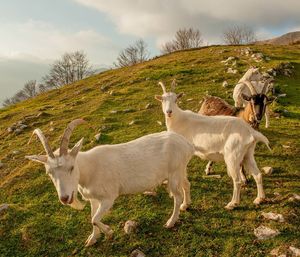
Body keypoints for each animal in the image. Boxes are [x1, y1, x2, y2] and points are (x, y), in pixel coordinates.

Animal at [25, 120, 195, 246]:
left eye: (71, 167)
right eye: (49, 173)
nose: (65, 198)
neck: (89, 168)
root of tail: (186, 144)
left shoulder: (108, 197)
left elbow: (94, 219)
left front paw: (109, 232)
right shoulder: (93, 199)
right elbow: (92, 218)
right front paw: (92, 239)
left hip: (174, 173)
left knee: (177, 195)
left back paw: (171, 222)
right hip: (180, 170)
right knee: (186, 185)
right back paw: (185, 205)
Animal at [156, 80, 270, 210]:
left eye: (175, 100)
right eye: (163, 99)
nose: (169, 112)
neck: (179, 119)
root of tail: (250, 131)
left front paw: (184, 204)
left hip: (233, 156)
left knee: (237, 181)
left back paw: (232, 203)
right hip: (248, 154)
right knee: (258, 174)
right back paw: (259, 199)